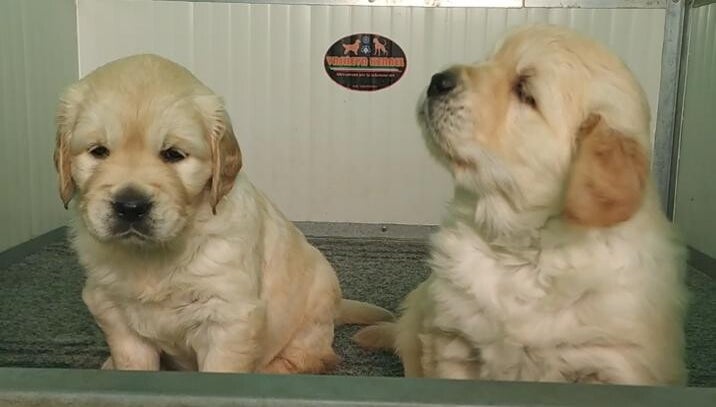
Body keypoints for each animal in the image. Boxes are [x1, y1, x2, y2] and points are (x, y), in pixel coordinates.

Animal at [54, 54, 392, 373]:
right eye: (98, 151)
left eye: (173, 154)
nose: (131, 206)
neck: (155, 254)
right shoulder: (114, 313)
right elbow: (132, 365)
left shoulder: (229, 318)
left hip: (316, 302)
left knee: (309, 358)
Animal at [355, 25, 688, 385]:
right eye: (488, 59)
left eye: (525, 92)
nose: (437, 80)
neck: (521, 252)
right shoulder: (452, 343)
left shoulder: (614, 365)